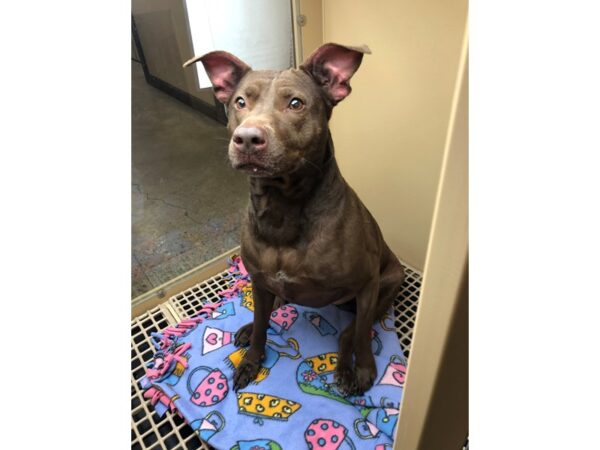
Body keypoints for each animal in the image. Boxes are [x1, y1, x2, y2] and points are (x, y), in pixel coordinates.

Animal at [185, 43, 406, 394]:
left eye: (296, 103)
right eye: (240, 102)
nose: (247, 138)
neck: (281, 208)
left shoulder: (368, 282)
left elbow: (359, 335)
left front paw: (363, 367)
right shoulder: (258, 279)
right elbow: (262, 325)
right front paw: (251, 359)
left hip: (387, 283)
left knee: (351, 331)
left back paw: (346, 367)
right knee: (271, 309)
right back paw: (250, 326)